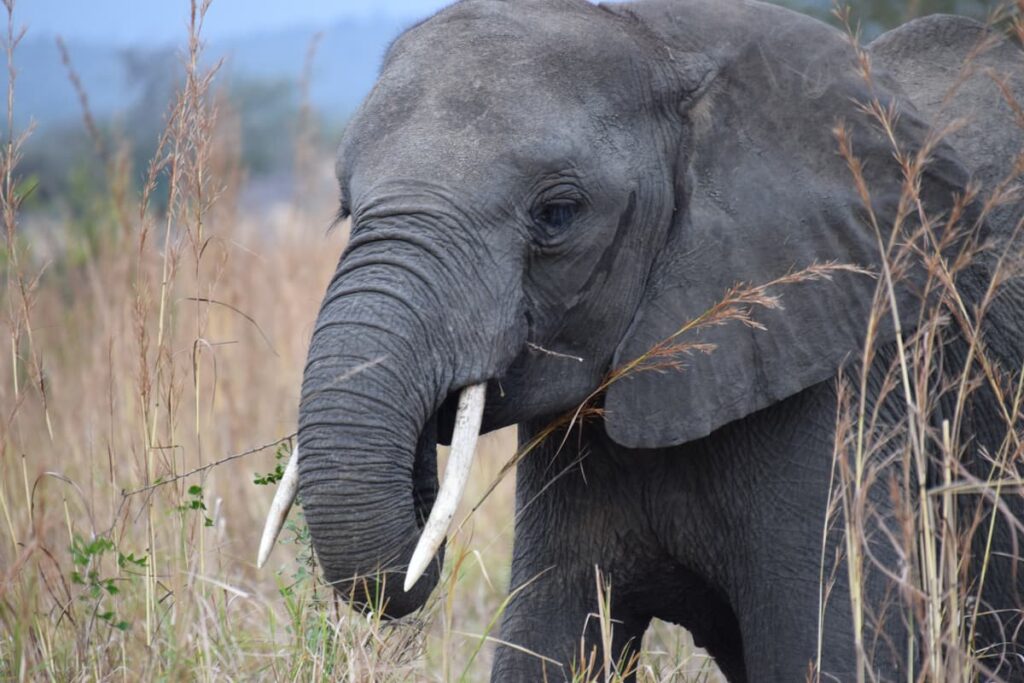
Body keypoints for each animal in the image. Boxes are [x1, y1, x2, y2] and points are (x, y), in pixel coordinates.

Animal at [258, 0, 1024, 680]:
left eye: (557, 214)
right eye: (347, 207)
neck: (668, 42)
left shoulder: (854, 386)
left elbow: (825, 655)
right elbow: (547, 645)